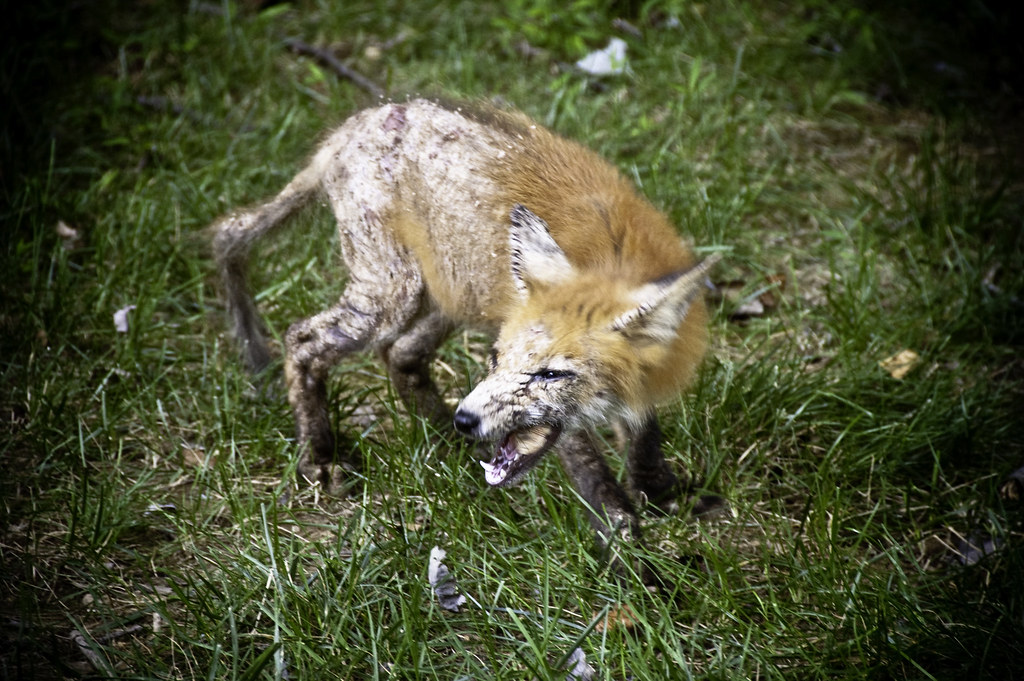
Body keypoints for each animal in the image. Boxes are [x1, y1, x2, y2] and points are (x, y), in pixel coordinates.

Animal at [211, 98, 719, 551]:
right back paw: (320, 457)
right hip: (392, 296)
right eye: (494, 361)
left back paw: (440, 439)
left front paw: (660, 493)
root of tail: (356, 123)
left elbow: (644, 436)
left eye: (552, 374)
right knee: (302, 340)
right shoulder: (565, 425)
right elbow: (598, 484)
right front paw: (631, 563)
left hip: (451, 295)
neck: (612, 256)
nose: (467, 419)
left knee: (400, 353)